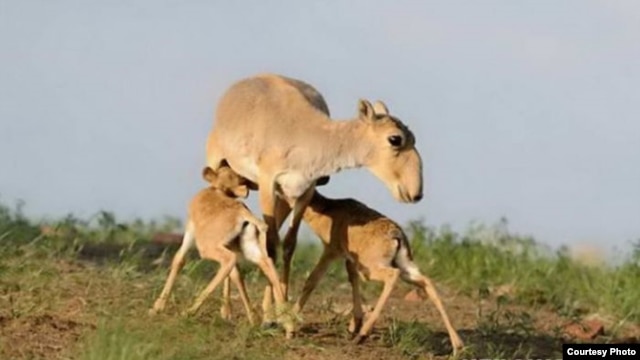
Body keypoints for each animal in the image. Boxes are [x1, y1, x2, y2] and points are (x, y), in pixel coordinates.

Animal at [206, 73, 424, 324]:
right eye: (395, 139)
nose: (416, 193)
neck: (304, 134)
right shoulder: (268, 184)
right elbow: (270, 247)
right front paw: (276, 314)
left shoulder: (303, 191)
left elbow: (288, 245)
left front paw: (280, 313)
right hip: (218, 168)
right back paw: (226, 310)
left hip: (280, 196)